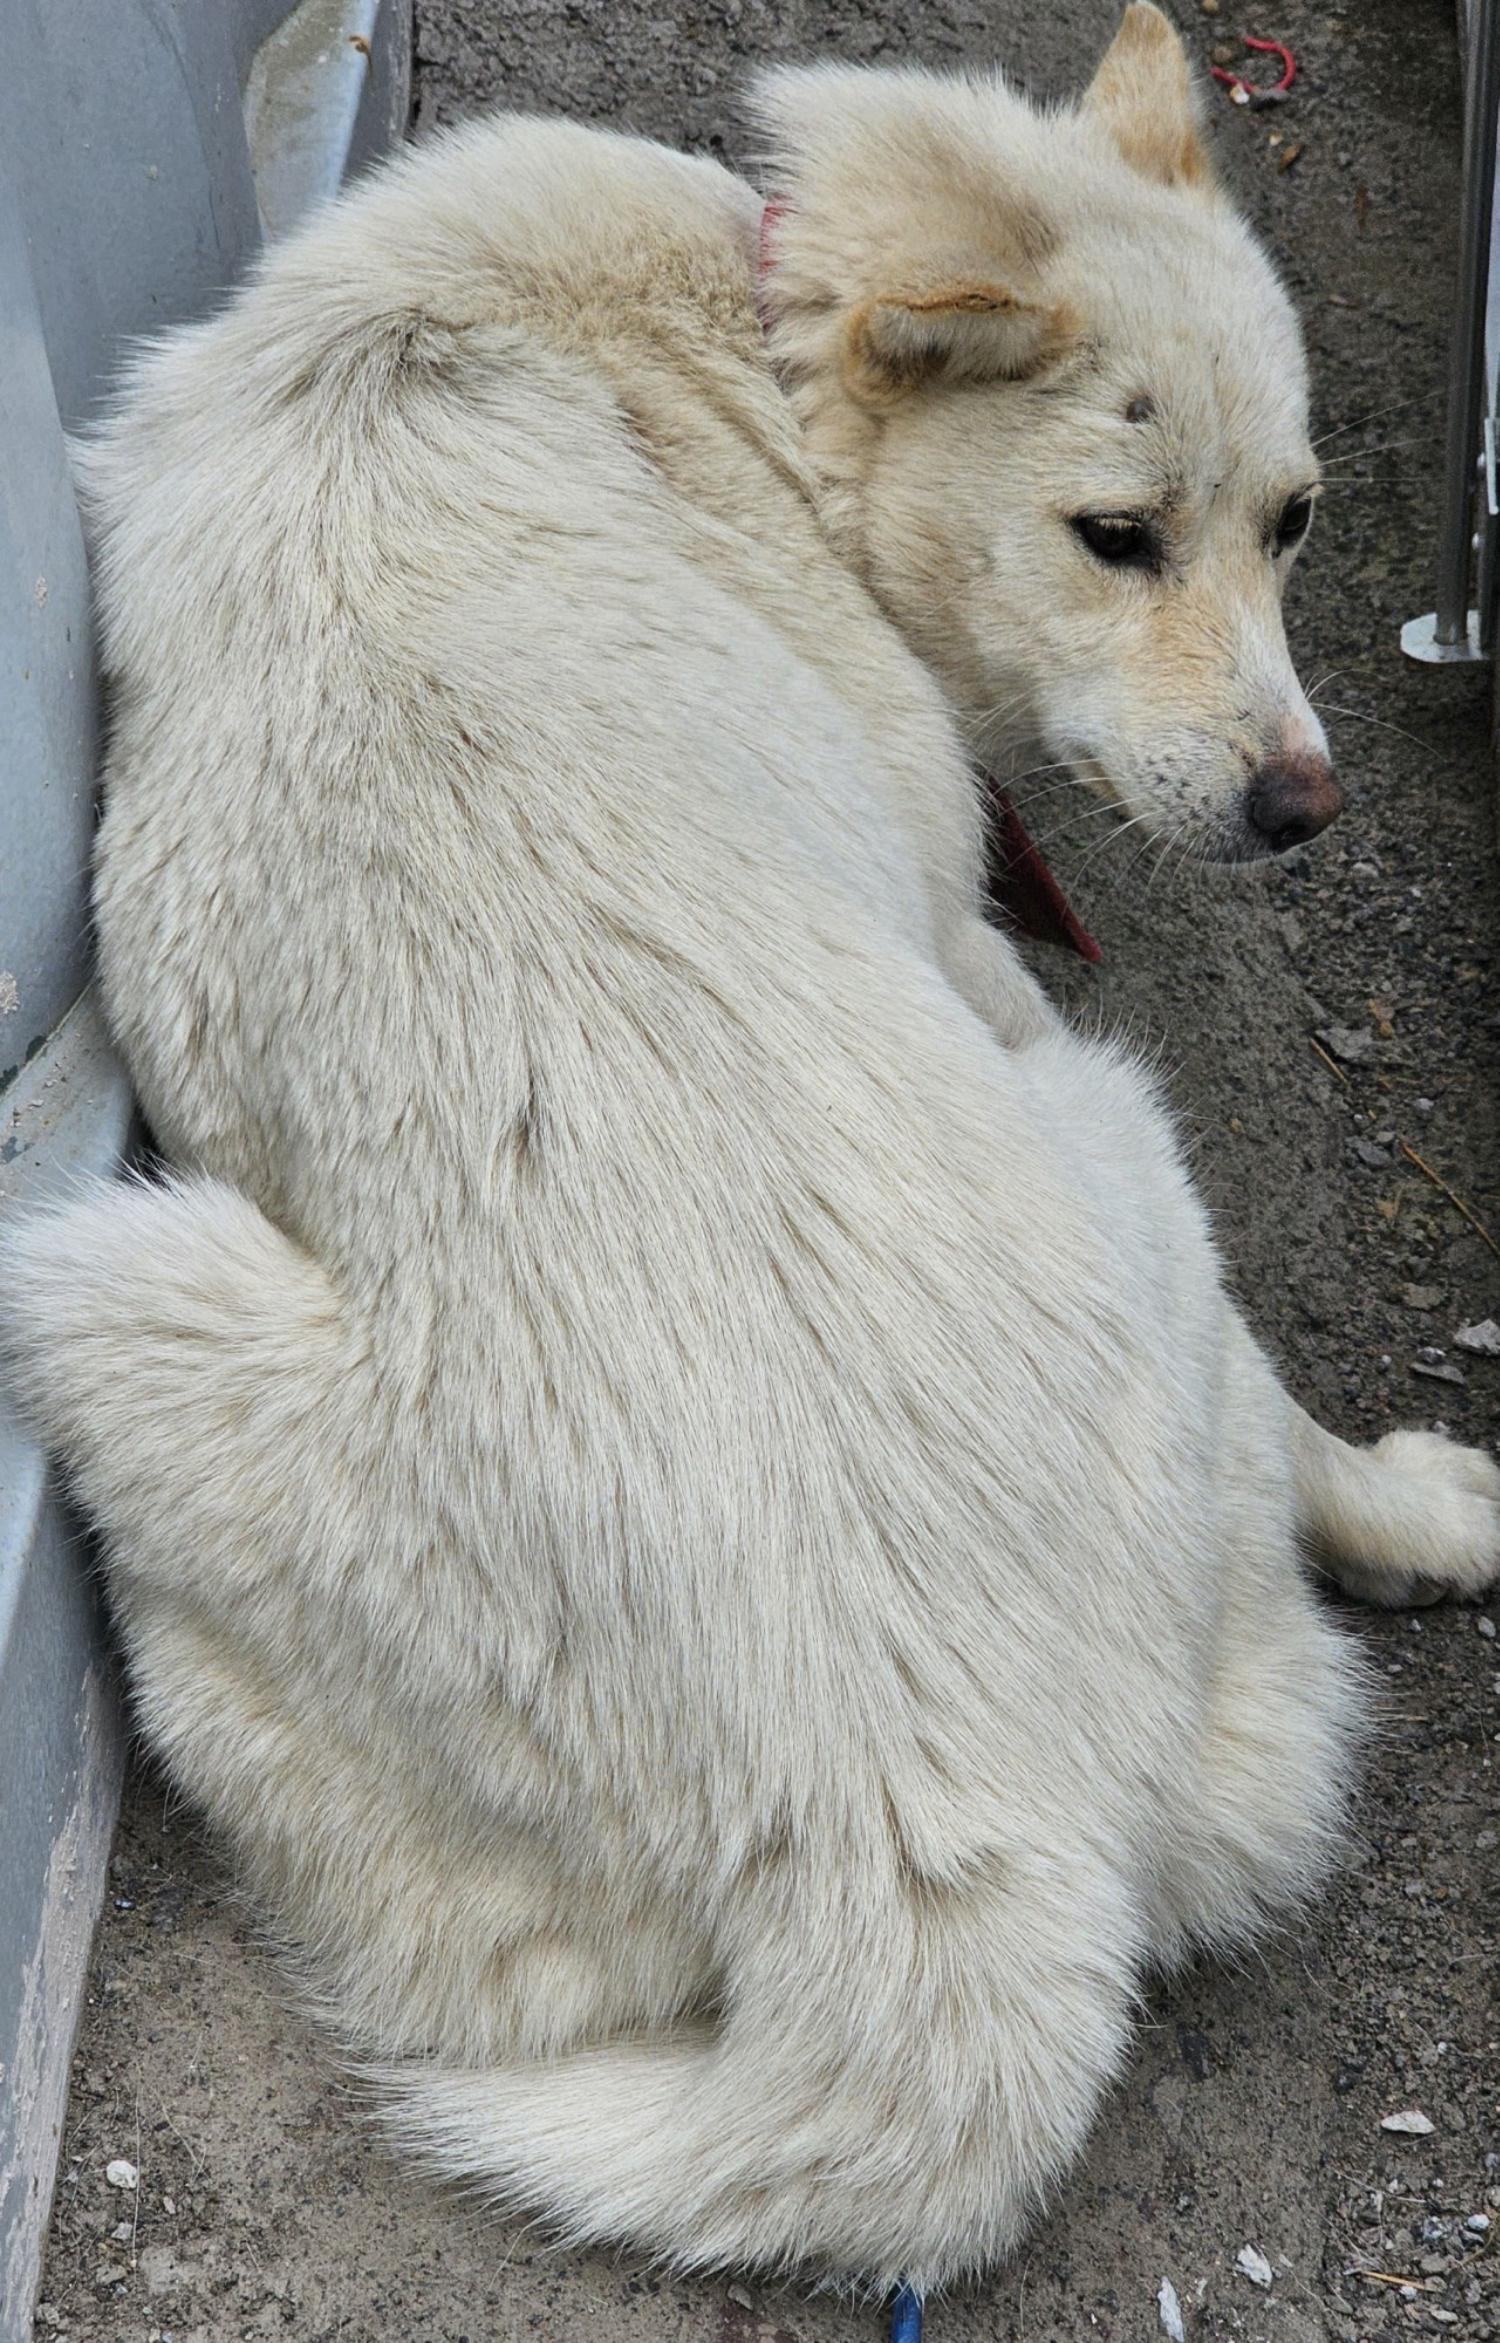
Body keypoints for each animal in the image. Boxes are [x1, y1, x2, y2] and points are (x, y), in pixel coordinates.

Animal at [5, 9, 1490, 2296]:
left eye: (1299, 522)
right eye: (1115, 536)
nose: (1299, 808)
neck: (759, 339)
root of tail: (919, 1836)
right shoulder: (972, 937)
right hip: (1101, 1130)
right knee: (1273, 1410)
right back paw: (1421, 1508)